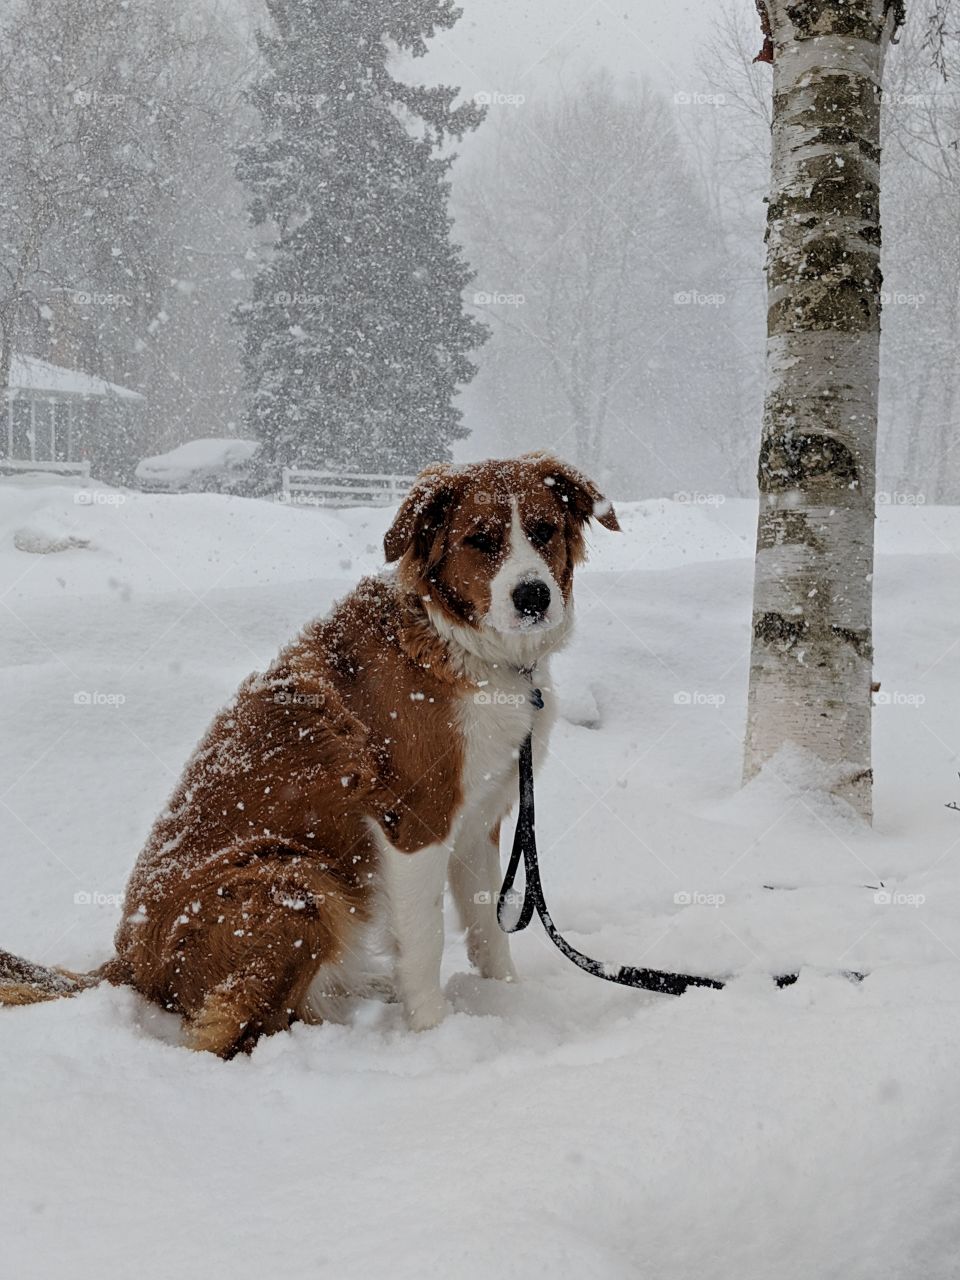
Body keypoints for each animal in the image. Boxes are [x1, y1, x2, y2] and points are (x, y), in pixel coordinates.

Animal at [0, 455, 619, 1054]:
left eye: (543, 531)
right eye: (481, 540)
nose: (533, 596)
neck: (462, 644)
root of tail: (128, 965)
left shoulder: (479, 820)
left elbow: (488, 931)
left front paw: (508, 1002)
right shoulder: (414, 823)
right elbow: (426, 941)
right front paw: (435, 1035)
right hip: (297, 881)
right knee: (228, 1033)